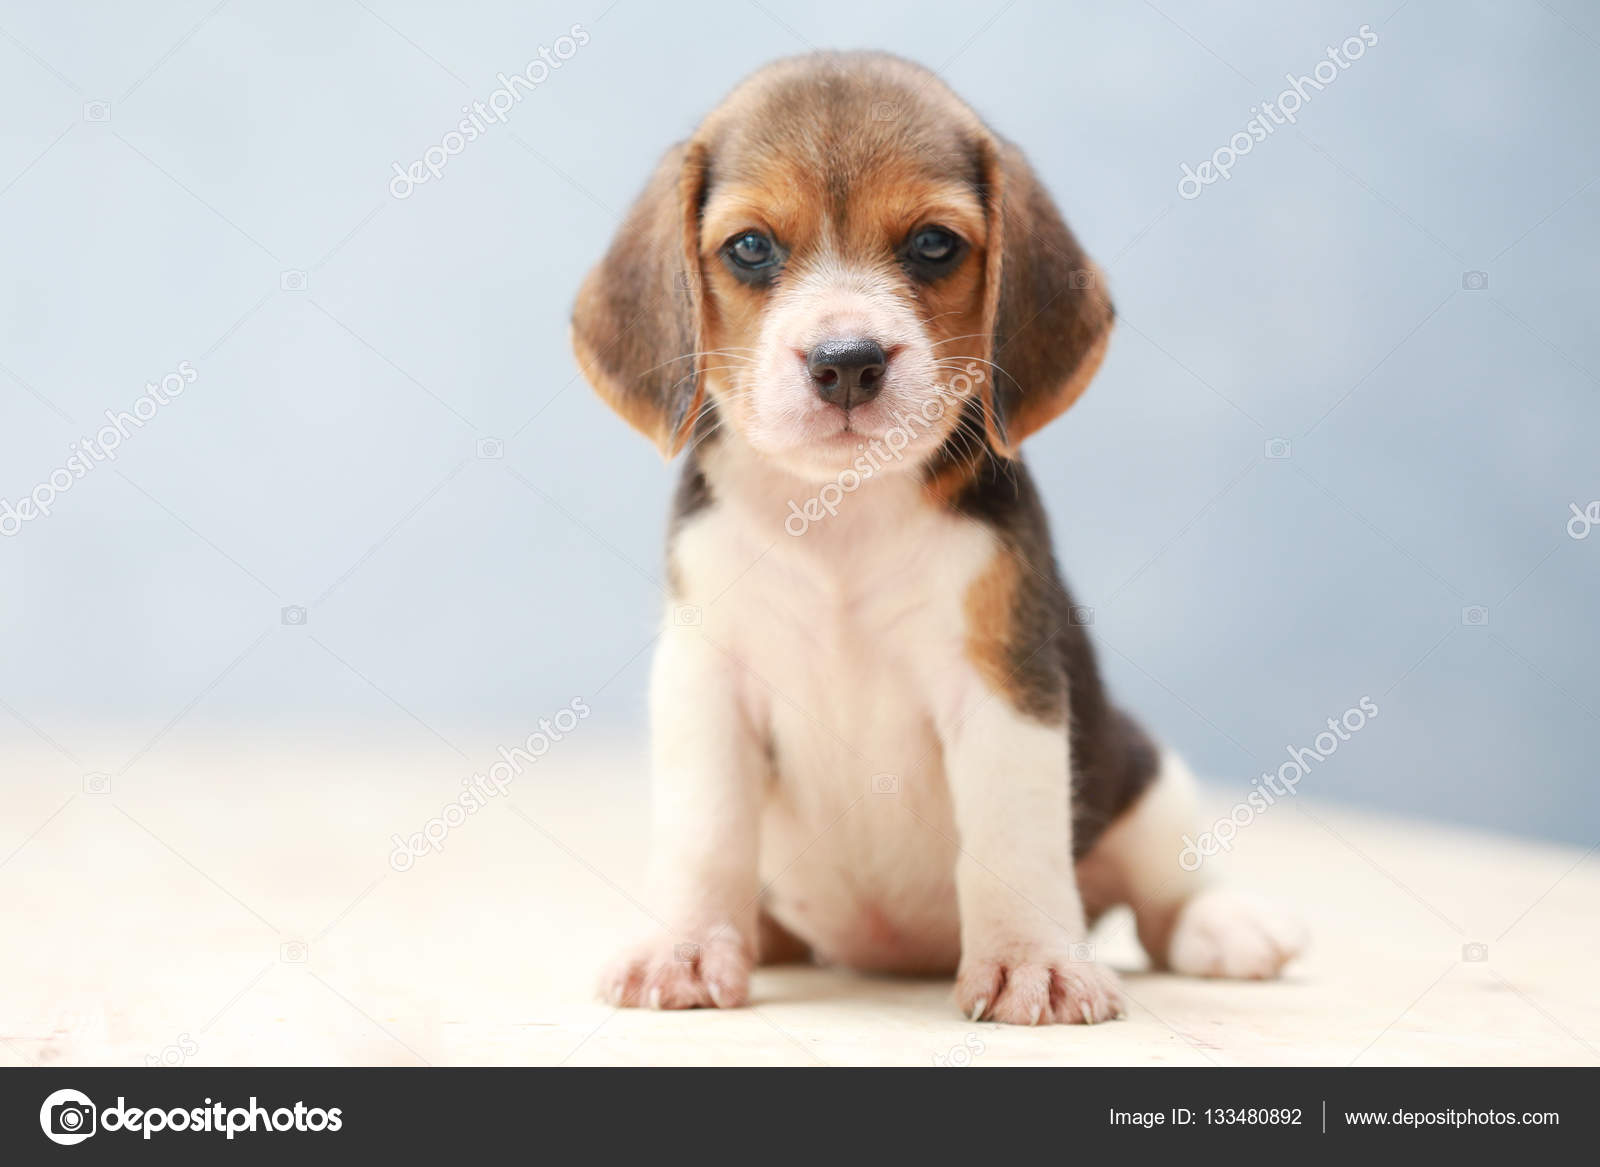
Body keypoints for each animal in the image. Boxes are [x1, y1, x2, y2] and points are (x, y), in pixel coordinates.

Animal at [572, 54, 1299, 1018]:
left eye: (933, 244)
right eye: (751, 247)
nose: (846, 361)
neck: (839, 510)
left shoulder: (1000, 680)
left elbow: (1010, 834)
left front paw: (1032, 960)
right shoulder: (705, 682)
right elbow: (705, 832)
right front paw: (685, 947)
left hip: (1144, 771)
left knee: (1163, 892)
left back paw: (1226, 924)